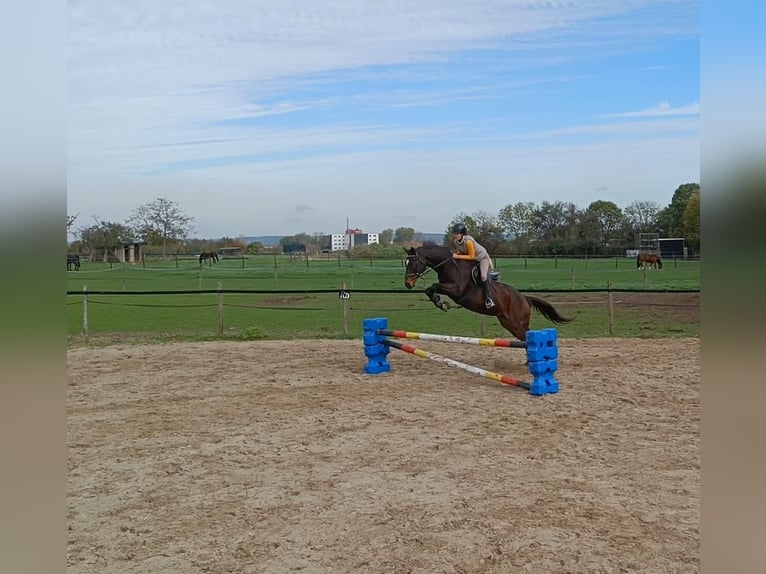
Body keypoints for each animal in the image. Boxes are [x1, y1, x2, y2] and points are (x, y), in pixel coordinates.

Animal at [404, 243, 572, 342]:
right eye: (405, 262)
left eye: (413, 262)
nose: (408, 283)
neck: (449, 265)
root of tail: (525, 298)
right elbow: (429, 289)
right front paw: (441, 303)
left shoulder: (456, 290)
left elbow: (433, 286)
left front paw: (441, 303)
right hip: (507, 322)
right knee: (525, 336)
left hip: (517, 322)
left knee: (527, 335)